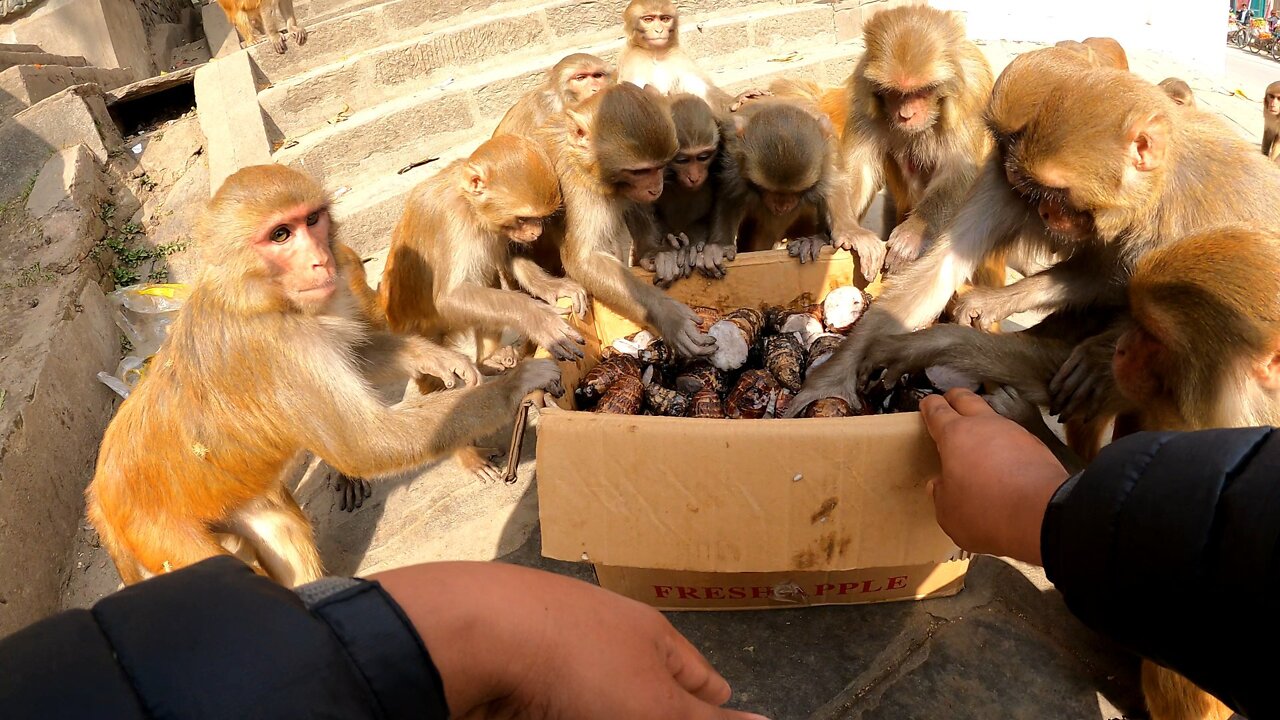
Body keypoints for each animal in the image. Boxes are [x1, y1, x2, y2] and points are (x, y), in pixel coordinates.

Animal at [83, 162, 555, 584]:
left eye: (311, 219)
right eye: (280, 234)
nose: (321, 260)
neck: (259, 296)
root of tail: (99, 494)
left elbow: (357, 358)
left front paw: (437, 358)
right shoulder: (285, 350)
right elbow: (364, 444)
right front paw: (518, 385)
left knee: (280, 530)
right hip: (159, 533)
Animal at [535, 81, 716, 356]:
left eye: (660, 166)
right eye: (640, 171)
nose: (656, 188)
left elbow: (634, 206)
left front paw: (655, 253)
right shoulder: (577, 186)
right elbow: (584, 259)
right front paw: (668, 316)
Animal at [793, 47, 1280, 417]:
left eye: (1056, 192)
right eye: (1005, 145)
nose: (1041, 208)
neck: (1155, 194)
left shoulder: (1172, 228)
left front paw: (926, 345)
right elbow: (942, 268)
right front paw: (834, 374)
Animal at [839, 4, 998, 272]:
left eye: (922, 91)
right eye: (895, 93)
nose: (906, 115)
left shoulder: (969, 96)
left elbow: (959, 172)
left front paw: (913, 233)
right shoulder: (863, 91)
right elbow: (861, 166)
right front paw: (851, 231)